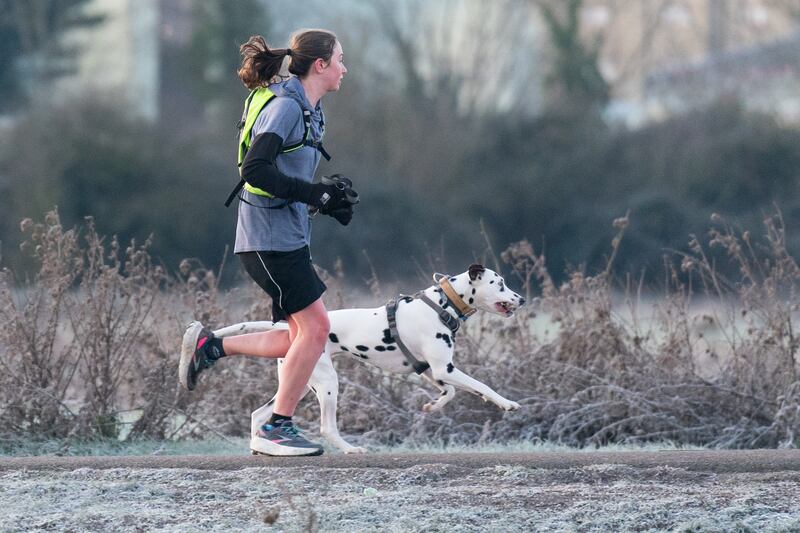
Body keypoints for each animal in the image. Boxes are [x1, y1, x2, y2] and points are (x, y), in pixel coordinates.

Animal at [212, 262, 524, 454]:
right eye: (500, 283)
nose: (521, 299)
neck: (441, 304)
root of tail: (288, 329)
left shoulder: (430, 371)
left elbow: (451, 393)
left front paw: (433, 406)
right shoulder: (444, 369)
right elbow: (482, 386)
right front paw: (506, 403)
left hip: (299, 384)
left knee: (260, 414)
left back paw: (263, 447)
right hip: (327, 383)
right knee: (327, 427)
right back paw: (350, 449)